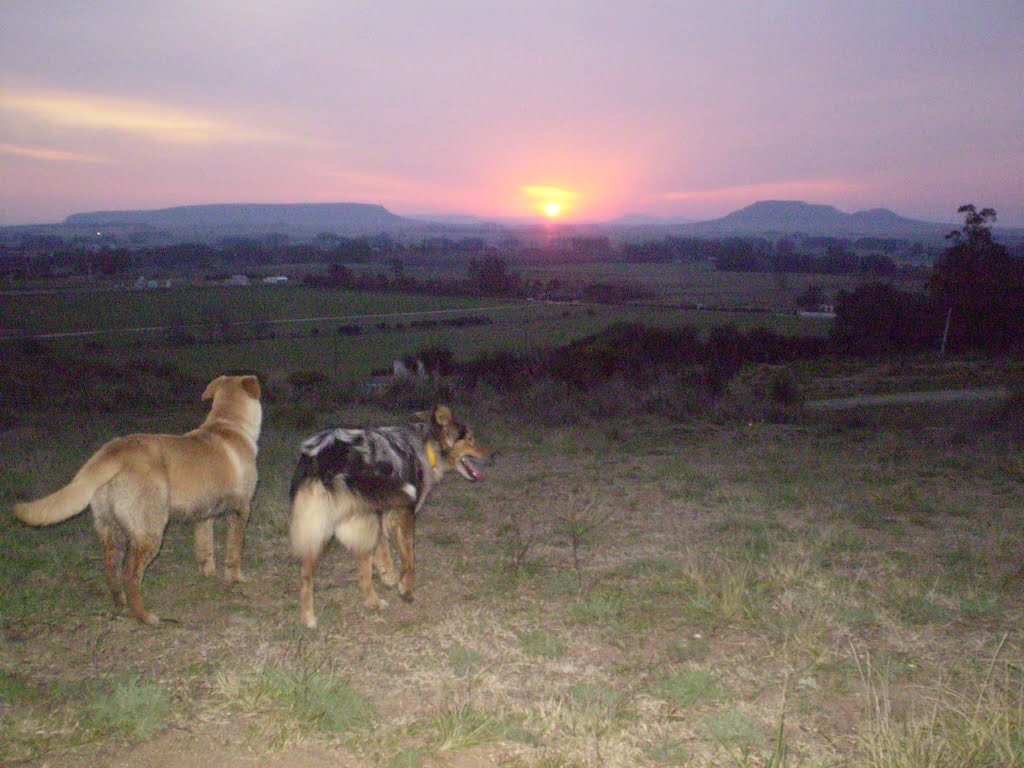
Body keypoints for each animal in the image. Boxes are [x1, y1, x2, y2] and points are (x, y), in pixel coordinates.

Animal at [14, 374, 262, 626]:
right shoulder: (241, 509)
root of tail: (114, 450)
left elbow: (205, 549)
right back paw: (144, 616)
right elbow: (234, 553)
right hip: (149, 532)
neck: (229, 425)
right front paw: (237, 579)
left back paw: (121, 605)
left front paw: (208, 575)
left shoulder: (203, 516)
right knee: (130, 576)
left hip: (111, 531)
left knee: (111, 570)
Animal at [286, 405, 489, 626]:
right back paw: (374, 602)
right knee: (363, 569)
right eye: (470, 438)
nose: (492, 455)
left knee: (306, 575)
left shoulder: (382, 514)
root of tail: (323, 457)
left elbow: (384, 550)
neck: (425, 445)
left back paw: (308, 617)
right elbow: (409, 559)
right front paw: (406, 590)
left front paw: (388, 576)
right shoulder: (404, 514)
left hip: (317, 523)